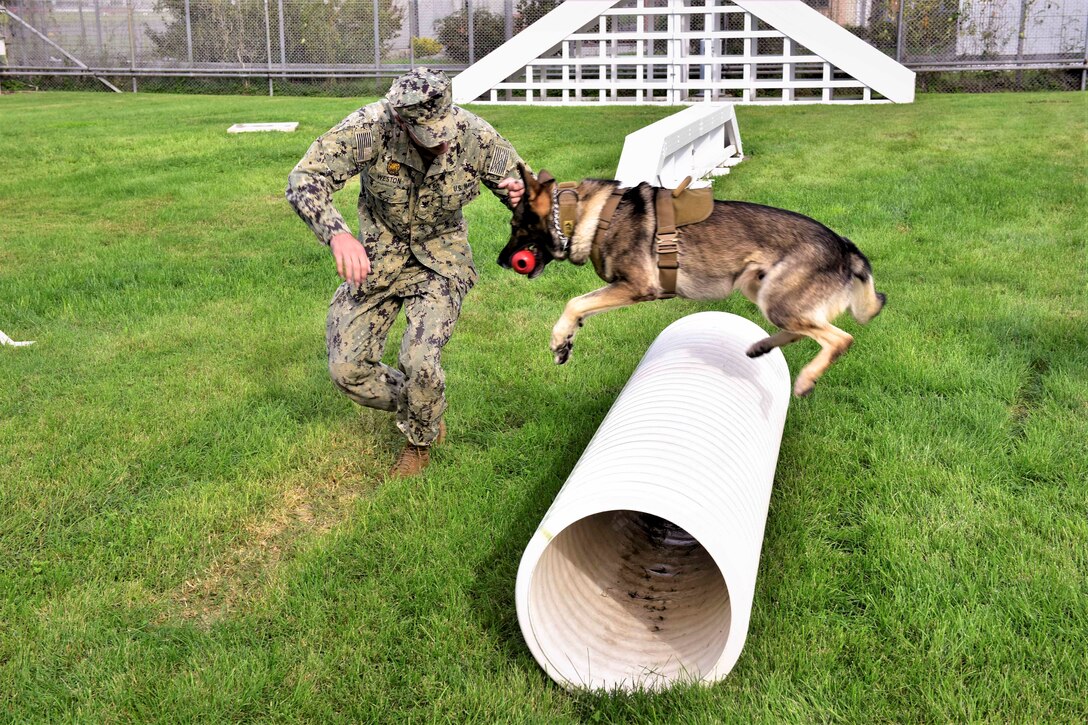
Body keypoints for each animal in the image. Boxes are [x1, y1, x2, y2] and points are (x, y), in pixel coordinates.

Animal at [498, 163, 883, 396]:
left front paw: (559, 340)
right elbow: (582, 307)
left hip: (776, 300)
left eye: (516, 226)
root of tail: (845, 246)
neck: (582, 215)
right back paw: (762, 346)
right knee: (804, 330)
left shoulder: (636, 287)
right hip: (759, 290)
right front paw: (566, 342)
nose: (501, 262)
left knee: (840, 339)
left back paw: (805, 379)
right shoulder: (620, 288)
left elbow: (574, 302)